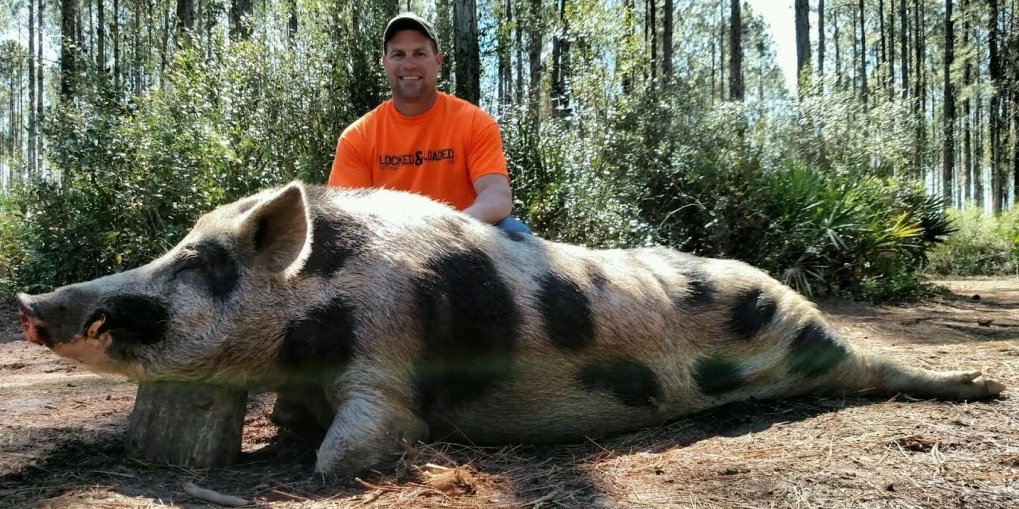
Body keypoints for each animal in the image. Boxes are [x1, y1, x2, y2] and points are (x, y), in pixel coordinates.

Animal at [16, 182, 1007, 478]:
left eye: (196, 261)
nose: (30, 299)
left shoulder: (386, 360)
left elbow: (353, 445)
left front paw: (327, 466)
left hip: (808, 335)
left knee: (872, 364)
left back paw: (984, 387)